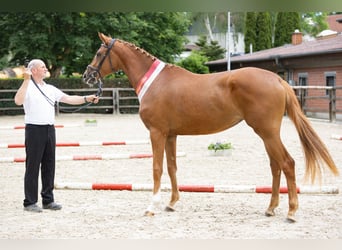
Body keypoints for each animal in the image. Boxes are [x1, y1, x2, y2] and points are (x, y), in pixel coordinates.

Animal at [81, 32, 338, 222]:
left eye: (99, 53)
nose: (86, 76)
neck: (155, 82)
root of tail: (277, 79)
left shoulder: (157, 133)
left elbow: (157, 168)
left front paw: (151, 206)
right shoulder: (171, 135)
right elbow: (172, 167)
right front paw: (172, 203)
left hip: (268, 132)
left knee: (287, 163)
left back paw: (291, 211)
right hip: (266, 134)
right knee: (275, 166)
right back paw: (271, 208)